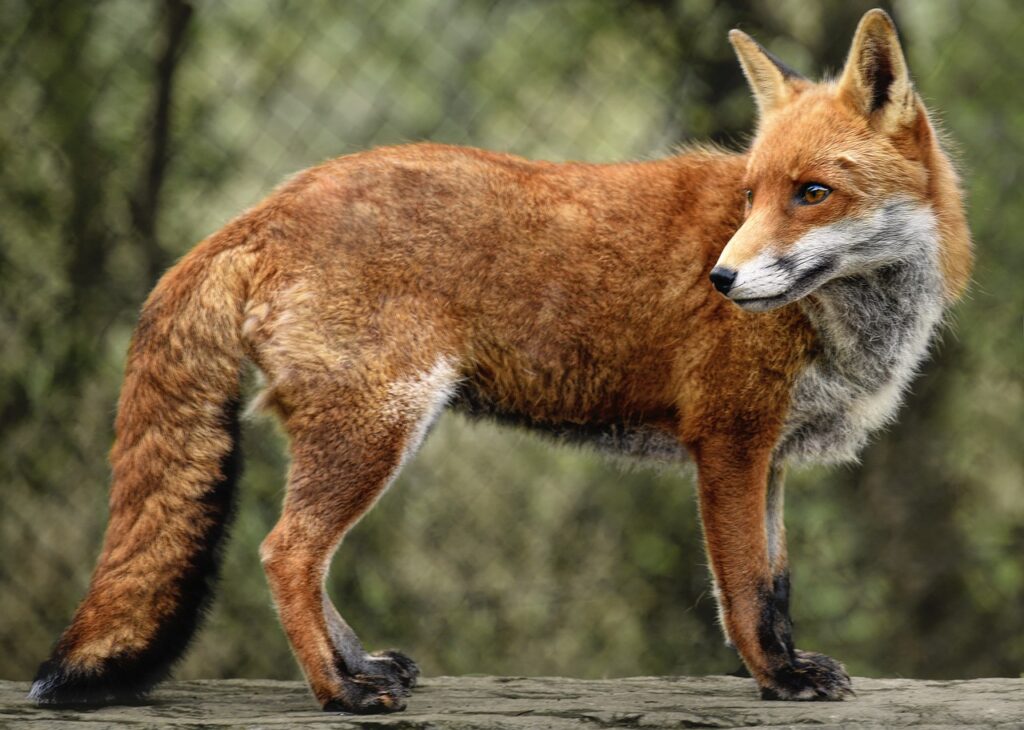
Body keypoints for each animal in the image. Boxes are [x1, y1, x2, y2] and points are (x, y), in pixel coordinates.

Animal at [31, 9, 970, 712]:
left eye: (812, 193)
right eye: (750, 196)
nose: (722, 278)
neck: (847, 319)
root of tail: (267, 206)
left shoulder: (766, 457)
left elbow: (775, 585)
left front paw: (788, 666)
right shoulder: (729, 443)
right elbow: (744, 589)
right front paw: (777, 679)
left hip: (375, 432)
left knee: (302, 556)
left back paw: (358, 666)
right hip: (377, 430)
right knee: (283, 552)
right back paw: (339, 692)